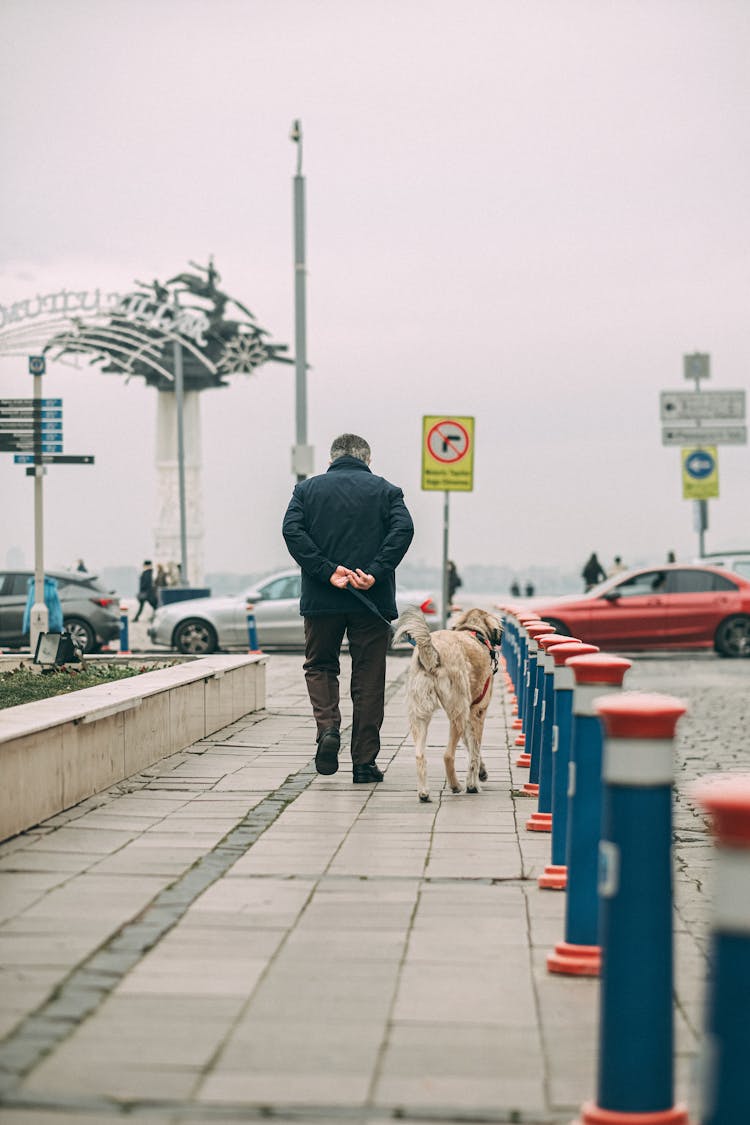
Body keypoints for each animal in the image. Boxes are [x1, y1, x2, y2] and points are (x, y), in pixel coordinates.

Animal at [393, 607, 503, 801]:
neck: (473, 632)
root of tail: (431, 652)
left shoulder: (469, 717)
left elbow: (471, 746)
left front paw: (482, 772)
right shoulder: (477, 712)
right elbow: (474, 751)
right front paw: (473, 783)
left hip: (419, 715)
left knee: (420, 754)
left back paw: (424, 793)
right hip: (458, 712)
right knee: (447, 755)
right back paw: (456, 785)